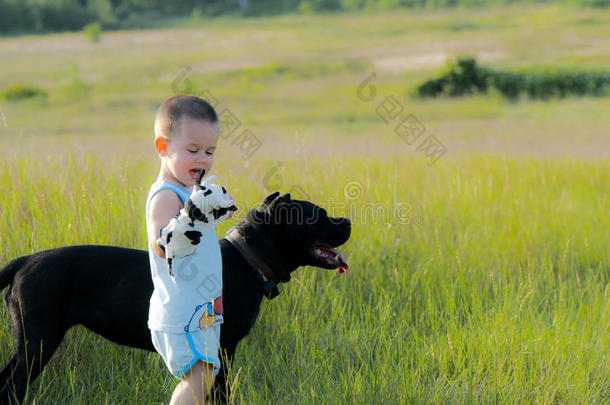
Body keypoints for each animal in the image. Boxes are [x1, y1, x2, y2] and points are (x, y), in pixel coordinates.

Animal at [0, 191, 350, 402]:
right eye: (319, 215)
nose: (347, 221)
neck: (248, 258)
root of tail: (26, 261)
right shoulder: (222, 349)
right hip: (37, 344)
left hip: (27, 346)